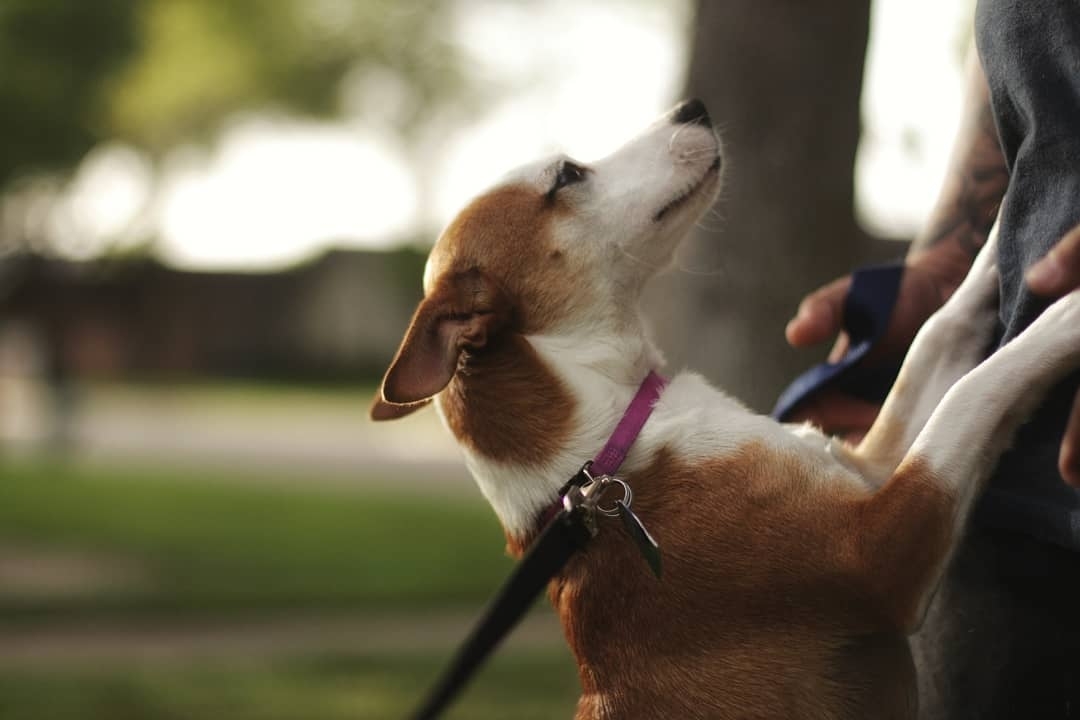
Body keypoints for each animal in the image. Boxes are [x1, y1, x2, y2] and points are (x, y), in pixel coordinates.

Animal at [369, 102, 1080, 720]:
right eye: (568, 176)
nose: (694, 107)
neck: (607, 450)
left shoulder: (869, 467)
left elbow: (940, 330)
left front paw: (1001, 223)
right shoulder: (883, 547)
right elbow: (976, 390)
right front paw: (1065, 308)